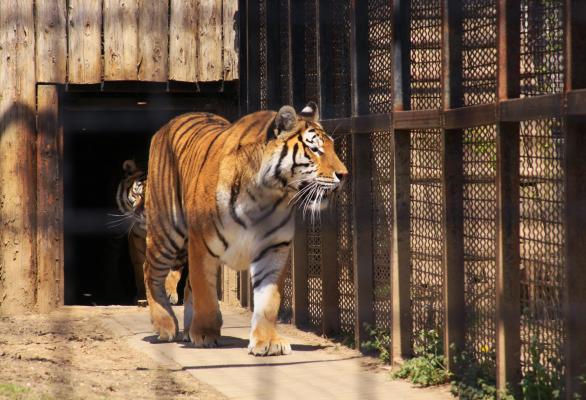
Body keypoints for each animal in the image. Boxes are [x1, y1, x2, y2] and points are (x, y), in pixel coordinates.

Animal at [116, 159, 182, 304]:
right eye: (138, 194)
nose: (144, 213)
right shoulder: (136, 239)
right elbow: (140, 268)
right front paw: (142, 296)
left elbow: (174, 268)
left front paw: (170, 293)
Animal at [145, 103, 346, 356]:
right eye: (315, 150)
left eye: (332, 147)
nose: (344, 175)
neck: (265, 195)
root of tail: (166, 125)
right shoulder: (201, 244)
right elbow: (205, 294)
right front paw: (205, 334)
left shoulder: (274, 248)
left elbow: (269, 300)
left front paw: (268, 341)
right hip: (166, 231)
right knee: (151, 272)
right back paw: (166, 325)